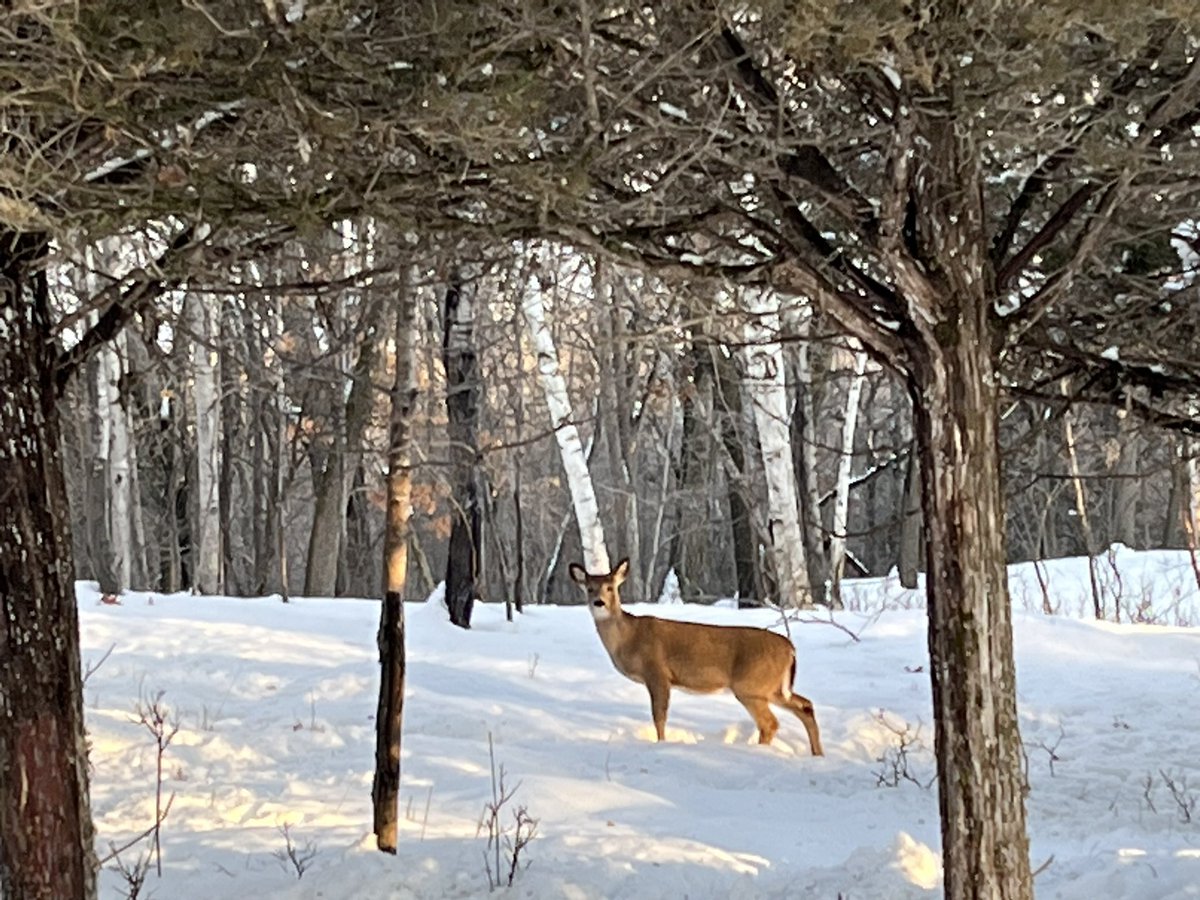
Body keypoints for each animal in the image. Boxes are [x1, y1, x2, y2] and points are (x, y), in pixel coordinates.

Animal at [569, 558, 824, 756]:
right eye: (589, 588)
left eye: (610, 587)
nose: (599, 602)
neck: (629, 638)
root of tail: (790, 647)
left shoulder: (657, 672)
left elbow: (659, 716)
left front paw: (661, 744)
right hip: (772, 687)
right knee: (805, 705)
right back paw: (817, 754)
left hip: (750, 686)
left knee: (770, 723)